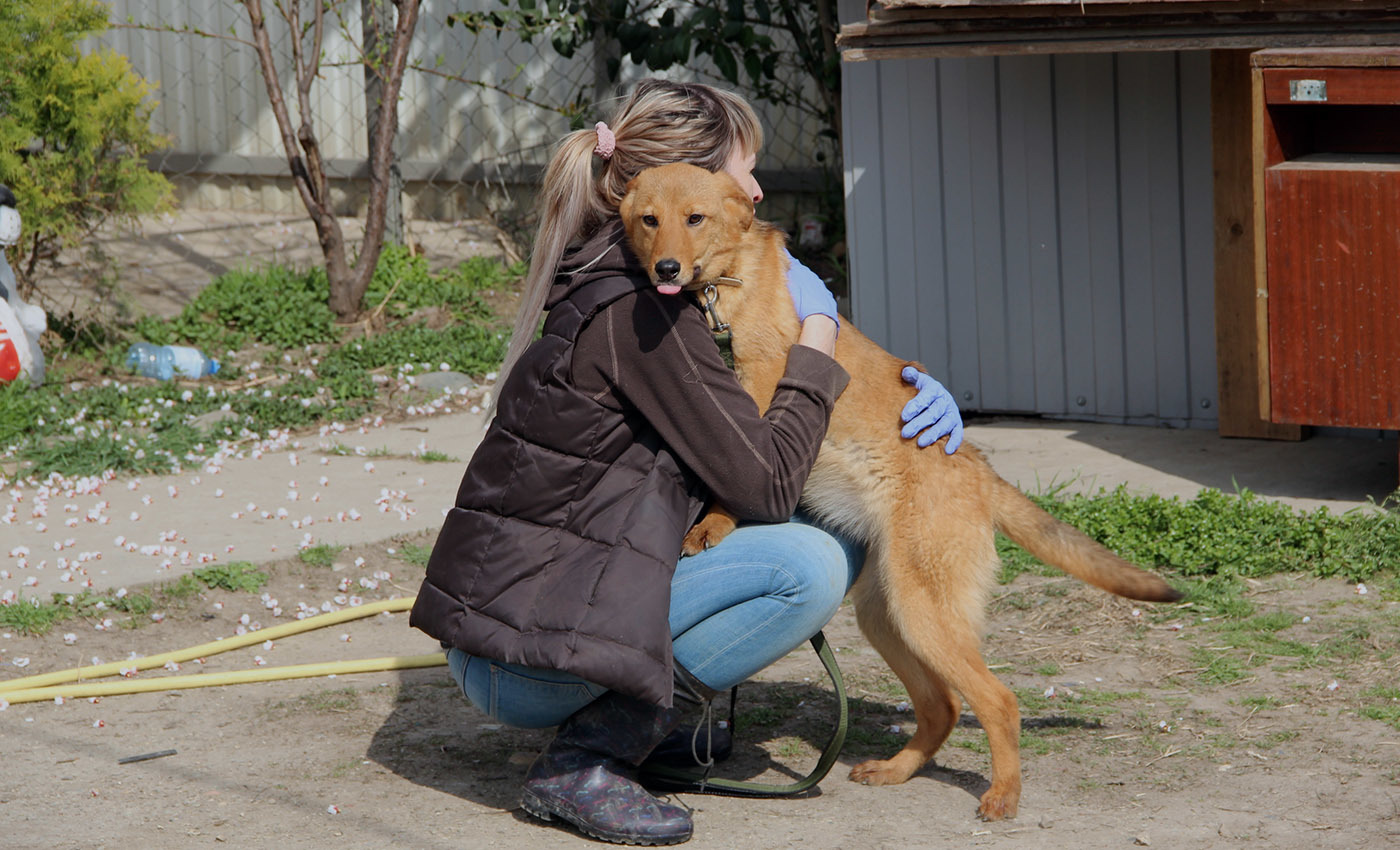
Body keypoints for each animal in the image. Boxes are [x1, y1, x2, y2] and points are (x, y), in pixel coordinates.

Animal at [618, 163, 1176, 823]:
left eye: (695, 219)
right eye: (649, 220)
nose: (666, 271)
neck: (717, 292)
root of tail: (981, 471)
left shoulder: (758, 391)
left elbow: (733, 482)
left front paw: (713, 523)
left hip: (923, 614)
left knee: (998, 701)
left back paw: (1003, 795)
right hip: (889, 616)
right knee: (943, 706)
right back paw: (898, 770)